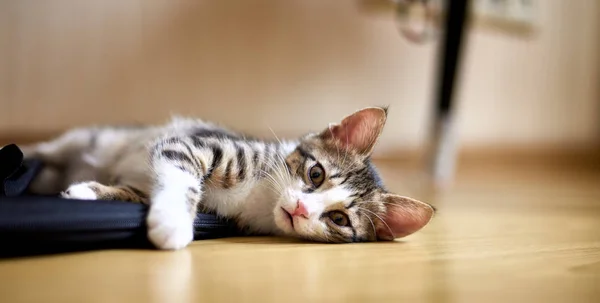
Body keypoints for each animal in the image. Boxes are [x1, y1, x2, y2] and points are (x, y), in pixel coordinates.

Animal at [23, 108, 434, 251]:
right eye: (315, 174)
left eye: (339, 219)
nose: (301, 208)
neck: (261, 198)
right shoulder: (192, 144)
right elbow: (184, 178)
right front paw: (173, 222)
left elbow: (134, 192)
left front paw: (90, 192)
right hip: (85, 138)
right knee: (43, 150)